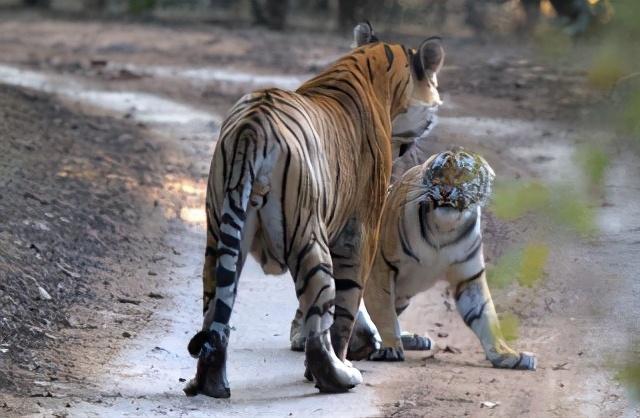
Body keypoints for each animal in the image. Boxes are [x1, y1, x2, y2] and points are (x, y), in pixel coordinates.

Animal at [184, 23, 444, 398]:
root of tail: (252, 127)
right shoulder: (360, 231)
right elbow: (348, 305)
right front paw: (351, 352)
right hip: (308, 237)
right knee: (320, 319)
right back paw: (337, 377)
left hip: (218, 235)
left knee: (215, 312)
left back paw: (211, 384)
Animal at [360, 147, 536, 370]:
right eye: (438, 173)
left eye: (464, 174)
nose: (445, 191)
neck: (444, 229)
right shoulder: (381, 267)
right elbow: (383, 313)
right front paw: (390, 348)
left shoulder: (469, 278)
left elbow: (486, 316)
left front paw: (507, 354)